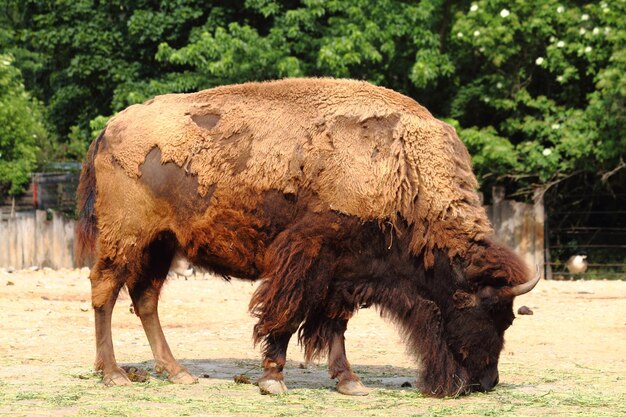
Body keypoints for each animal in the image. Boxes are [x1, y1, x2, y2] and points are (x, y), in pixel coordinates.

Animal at [77, 79, 536, 396]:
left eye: (510, 318)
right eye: (487, 312)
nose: (485, 382)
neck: (403, 172)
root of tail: (111, 127)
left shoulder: (345, 271)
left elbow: (335, 323)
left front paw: (349, 381)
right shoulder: (307, 256)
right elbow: (287, 312)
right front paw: (273, 379)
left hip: (161, 244)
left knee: (145, 299)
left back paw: (177, 373)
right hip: (126, 237)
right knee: (105, 291)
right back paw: (114, 374)